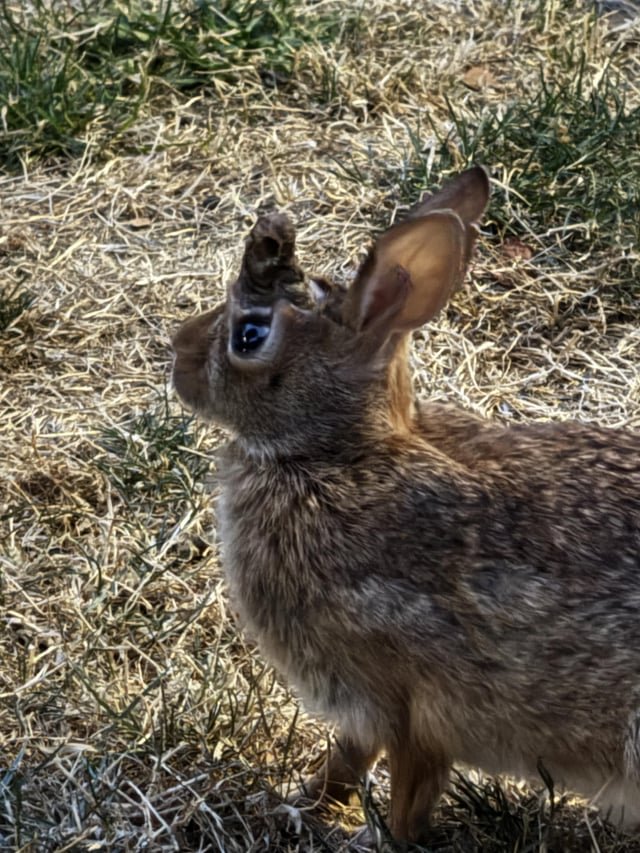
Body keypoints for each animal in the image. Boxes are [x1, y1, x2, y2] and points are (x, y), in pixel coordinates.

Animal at [172, 166, 640, 844]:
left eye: (249, 335)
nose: (177, 352)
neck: (335, 456)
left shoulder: (404, 705)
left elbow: (407, 792)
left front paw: (372, 839)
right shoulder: (363, 713)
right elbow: (344, 761)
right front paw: (295, 803)